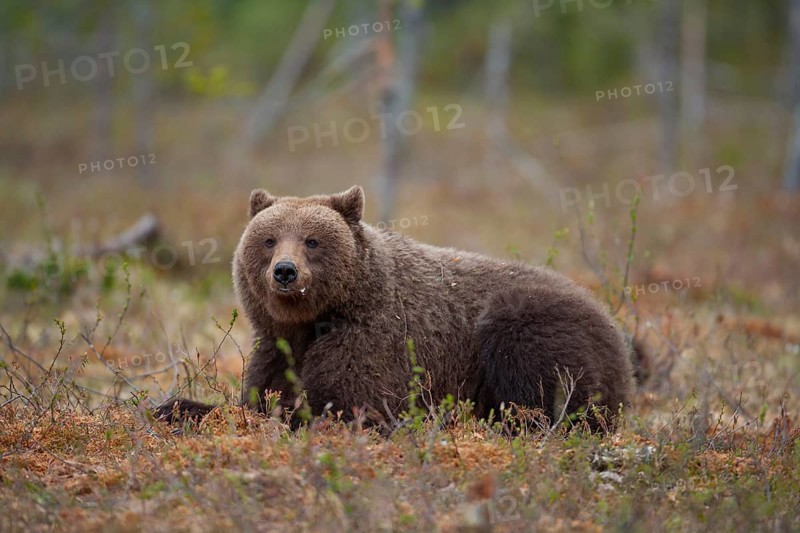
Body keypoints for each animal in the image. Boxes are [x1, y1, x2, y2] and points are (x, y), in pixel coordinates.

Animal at [156, 185, 633, 430]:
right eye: (269, 239)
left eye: (312, 240)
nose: (285, 272)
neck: (314, 321)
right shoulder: (277, 344)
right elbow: (261, 394)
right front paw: (175, 406)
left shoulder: (376, 339)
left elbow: (347, 404)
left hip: (533, 321)